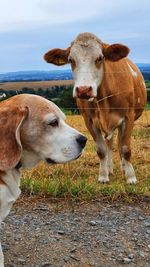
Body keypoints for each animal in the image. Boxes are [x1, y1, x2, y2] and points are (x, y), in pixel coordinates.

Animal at [43, 31, 146, 184]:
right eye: (71, 60)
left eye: (100, 58)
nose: (84, 90)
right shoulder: (89, 121)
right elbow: (101, 150)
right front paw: (103, 175)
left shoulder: (129, 118)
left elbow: (125, 148)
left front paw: (131, 177)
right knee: (110, 143)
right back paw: (110, 168)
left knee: (119, 143)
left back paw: (123, 167)